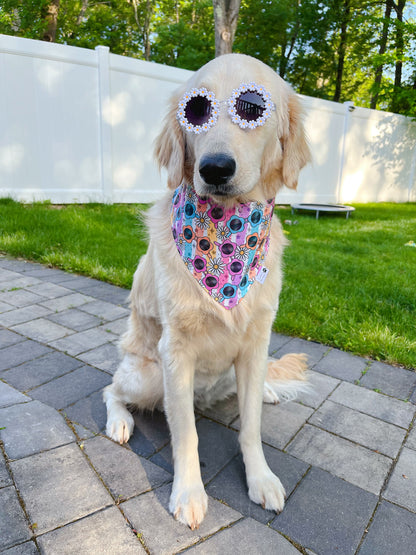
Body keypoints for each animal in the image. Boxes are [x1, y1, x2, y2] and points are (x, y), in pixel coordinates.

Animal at [105, 54, 308, 532]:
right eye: (196, 110)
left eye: (253, 107)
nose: (215, 168)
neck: (226, 240)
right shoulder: (175, 352)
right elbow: (187, 435)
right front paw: (189, 493)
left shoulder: (255, 344)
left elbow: (250, 427)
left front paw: (261, 478)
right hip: (146, 376)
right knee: (111, 389)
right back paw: (119, 422)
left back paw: (268, 390)